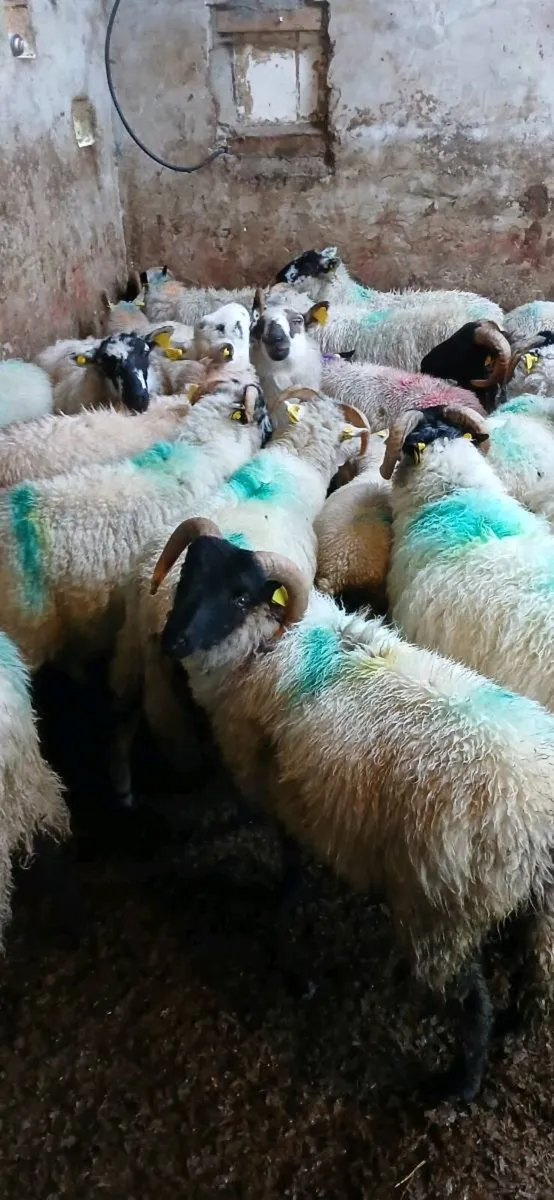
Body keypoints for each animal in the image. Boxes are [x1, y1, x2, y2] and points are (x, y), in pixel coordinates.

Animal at [156, 528, 554, 1102]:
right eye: (188, 574)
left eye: (239, 595)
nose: (174, 642)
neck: (270, 644)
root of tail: (534, 817)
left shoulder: (281, 797)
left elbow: (290, 868)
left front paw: (283, 924)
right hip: (535, 901)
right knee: (537, 964)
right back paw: (518, 1022)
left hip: (442, 910)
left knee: (470, 1003)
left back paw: (457, 1086)